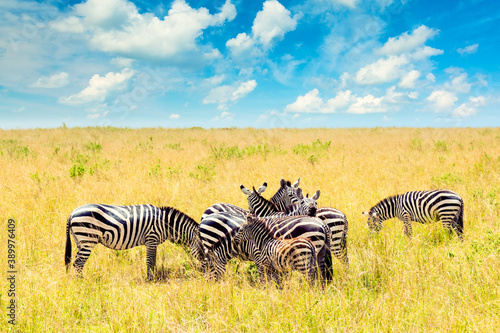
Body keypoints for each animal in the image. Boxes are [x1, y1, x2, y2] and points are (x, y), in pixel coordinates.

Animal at [65, 204, 205, 278]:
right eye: (204, 248)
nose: (204, 271)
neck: (165, 224)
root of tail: (72, 213)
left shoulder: (151, 241)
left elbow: (152, 261)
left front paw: (151, 277)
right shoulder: (151, 239)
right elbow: (151, 261)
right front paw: (150, 279)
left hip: (80, 241)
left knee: (77, 263)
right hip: (87, 239)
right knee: (78, 263)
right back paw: (82, 282)